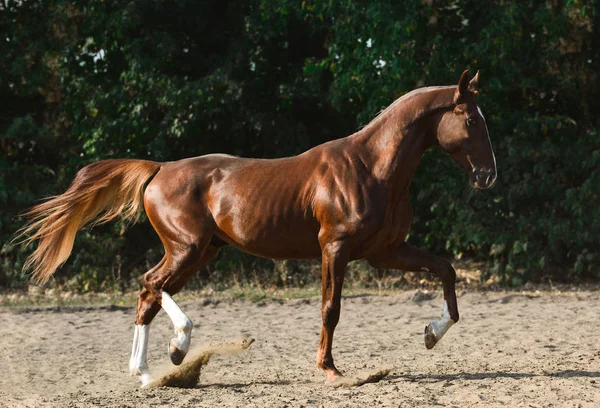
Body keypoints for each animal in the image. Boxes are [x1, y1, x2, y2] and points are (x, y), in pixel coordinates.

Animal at [18, 69, 496, 386]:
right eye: (472, 120)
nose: (488, 175)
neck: (372, 167)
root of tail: (158, 169)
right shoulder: (335, 247)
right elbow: (331, 309)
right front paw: (330, 370)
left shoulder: (385, 250)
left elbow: (446, 270)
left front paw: (431, 334)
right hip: (188, 247)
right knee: (152, 284)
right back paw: (177, 348)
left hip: (202, 250)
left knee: (149, 294)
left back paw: (150, 373)